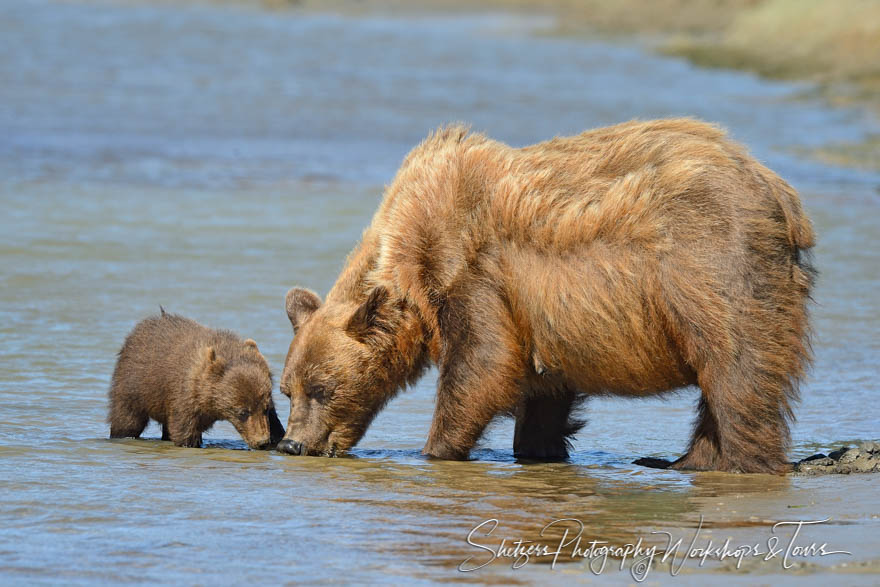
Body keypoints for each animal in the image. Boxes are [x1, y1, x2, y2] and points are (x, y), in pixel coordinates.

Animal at [276, 118, 820, 474]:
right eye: (288, 389)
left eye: (322, 388)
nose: (293, 445)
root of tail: (781, 194)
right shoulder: (537, 315)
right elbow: (544, 394)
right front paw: (538, 448)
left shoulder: (476, 274)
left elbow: (482, 364)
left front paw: (435, 449)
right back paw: (684, 461)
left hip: (710, 263)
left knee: (737, 370)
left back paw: (739, 462)